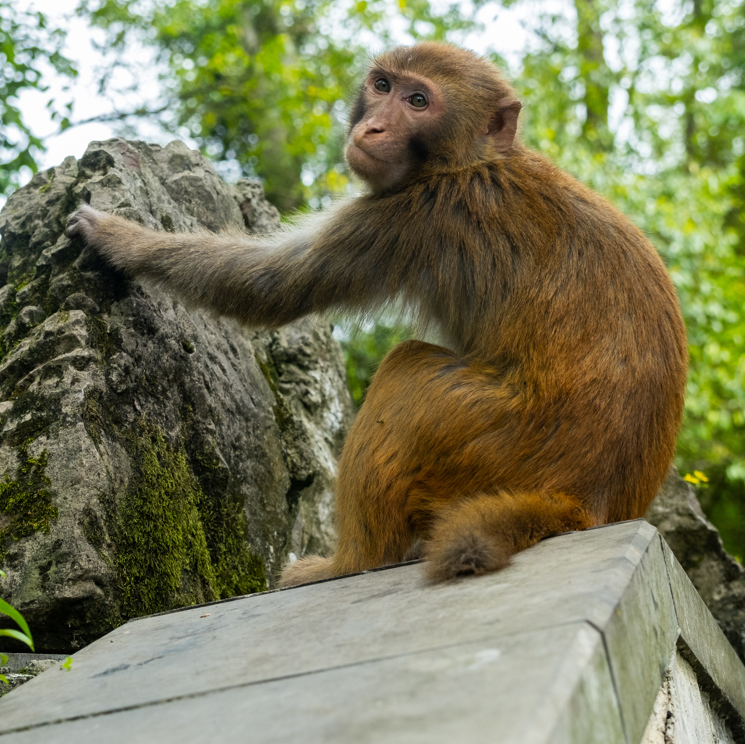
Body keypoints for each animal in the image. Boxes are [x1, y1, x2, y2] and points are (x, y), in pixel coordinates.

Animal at [67, 42, 688, 588]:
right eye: (383, 86)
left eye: (418, 101)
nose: (372, 130)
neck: (471, 161)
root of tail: (580, 502)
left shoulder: (413, 215)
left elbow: (270, 286)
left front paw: (122, 241)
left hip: (488, 436)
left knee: (406, 371)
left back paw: (353, 562)